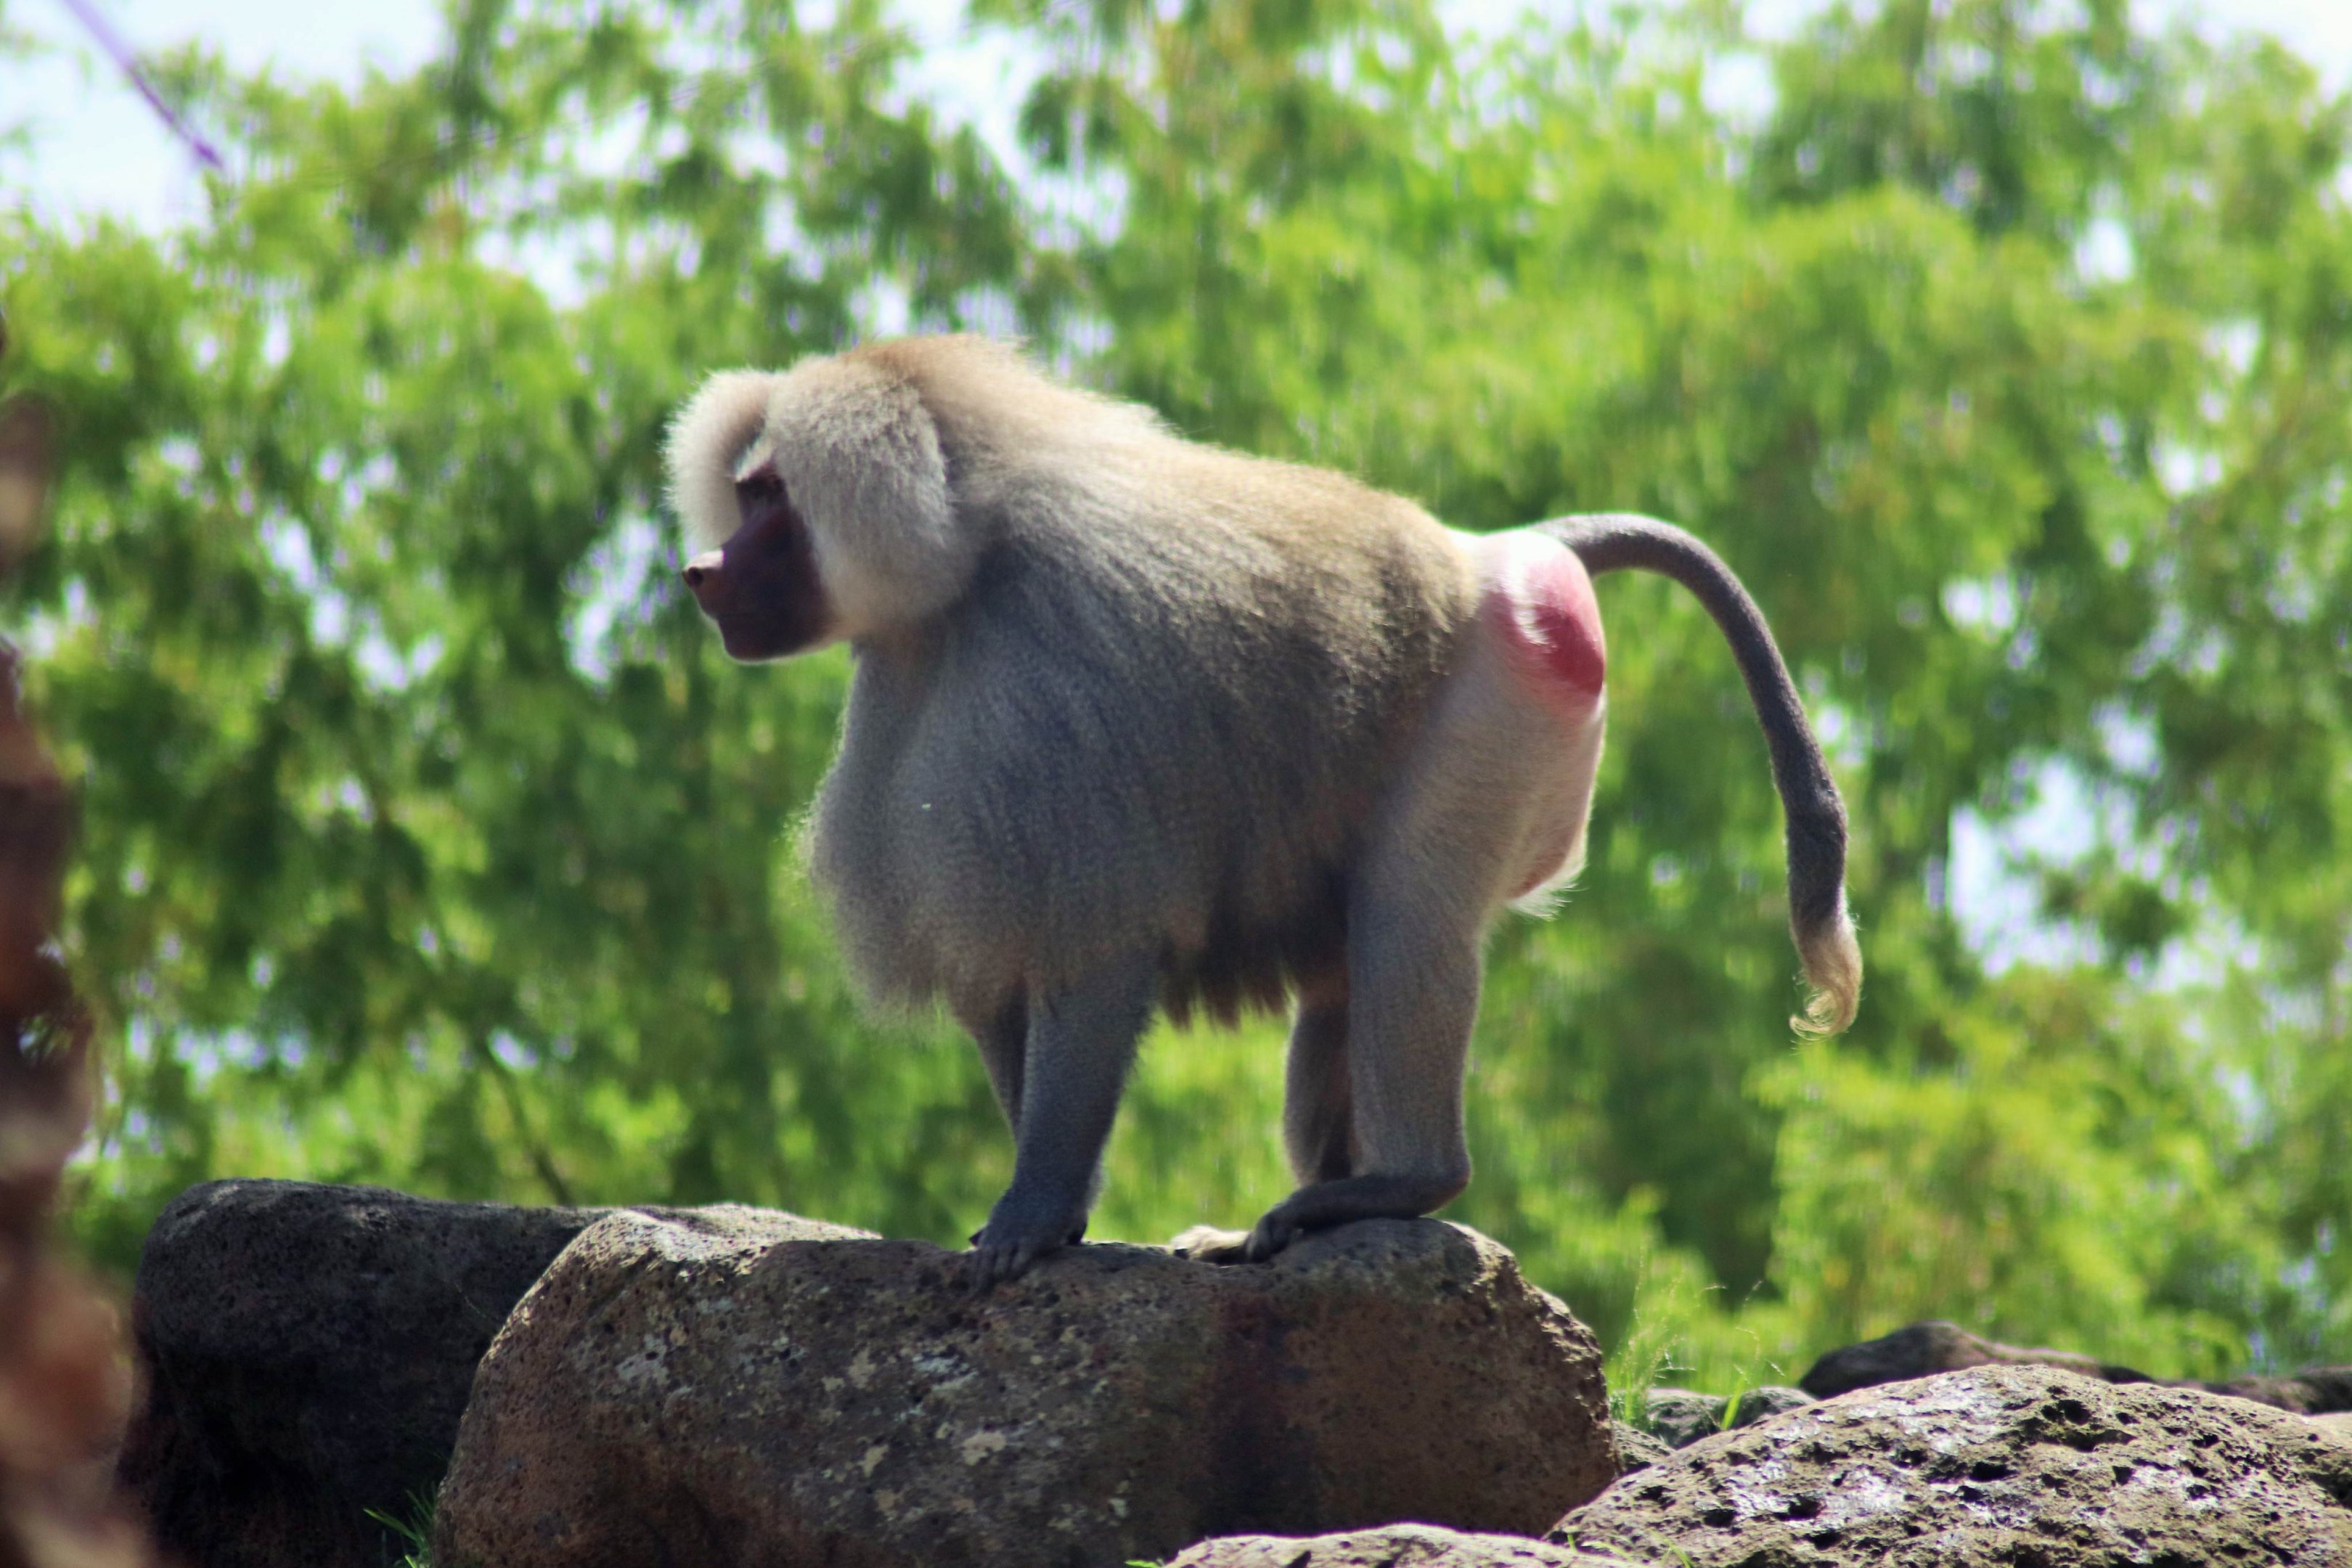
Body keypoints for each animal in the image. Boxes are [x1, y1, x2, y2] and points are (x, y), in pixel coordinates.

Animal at [669, 336, 1861, 1286]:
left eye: (771, 498)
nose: (698, 571)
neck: (963, 572)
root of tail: (1502, 550)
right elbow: (997, 983)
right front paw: (1052, 1212)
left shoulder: (1051, 704)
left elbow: (1091, 958)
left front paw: (1034, 1216)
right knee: (1347, 966)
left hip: (1505, 707)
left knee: (1407, 920)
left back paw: (1400, 1184)